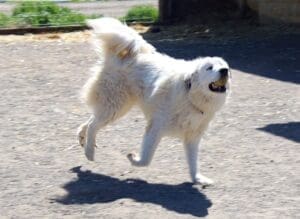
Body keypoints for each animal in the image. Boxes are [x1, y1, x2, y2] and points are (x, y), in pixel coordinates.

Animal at [78, 18, 231, 185]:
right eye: (209, 68)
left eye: (225, 66)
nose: (225, 71)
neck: (190, 94)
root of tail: (126, 56)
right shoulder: (155, 127)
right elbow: (146, 159)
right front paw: (133, 159)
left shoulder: (192, 136)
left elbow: (193, 162)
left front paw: (198, 179)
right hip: (115, 106)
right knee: (93, 125)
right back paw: (89, 152)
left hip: (116, 107)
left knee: (91, 121)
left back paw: (83, 140)